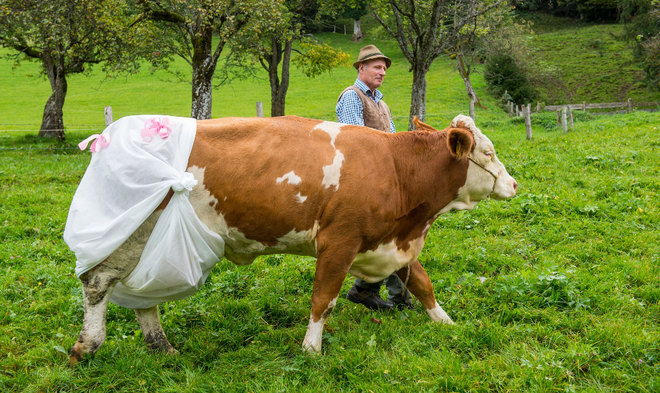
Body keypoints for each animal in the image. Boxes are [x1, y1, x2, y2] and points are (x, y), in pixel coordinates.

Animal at [69, 114, 520, 364]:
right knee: (99, 282)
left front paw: (446, 323)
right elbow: (323, 298)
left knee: (144, 296)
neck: (394, 167)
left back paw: (162, 348)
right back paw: (88, 345)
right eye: (490, 152)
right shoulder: (340, 241)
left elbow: (422, 283)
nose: (514, 184)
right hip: (136, 231)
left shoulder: (392, 240)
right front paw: (311, 349)